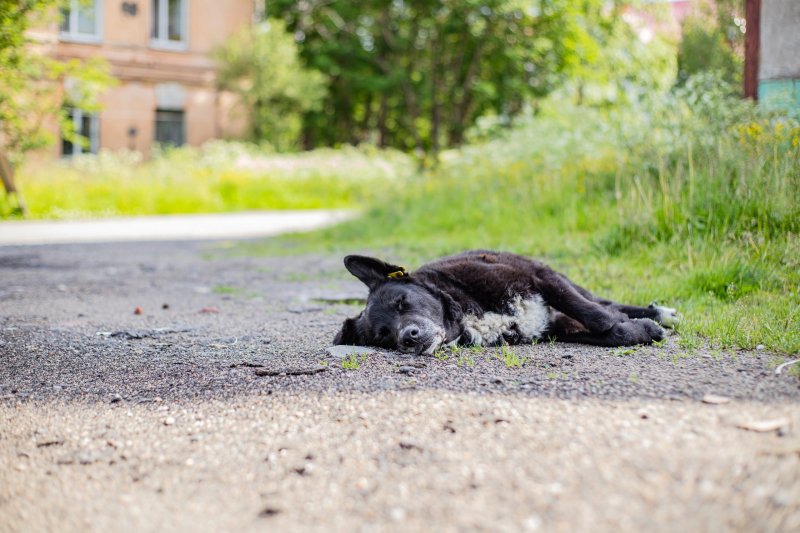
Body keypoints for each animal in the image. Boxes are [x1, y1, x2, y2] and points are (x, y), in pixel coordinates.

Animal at [334, 250, 680, 358]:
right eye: (384, 336)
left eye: (402, 302)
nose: (407, 337)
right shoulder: (554, 327)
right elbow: (608, 331)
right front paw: (640, 330)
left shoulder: (540, 276)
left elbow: (595, 316)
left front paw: (642, 324)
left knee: (602, 302)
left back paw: (662, 313)